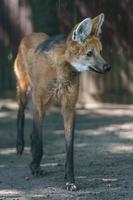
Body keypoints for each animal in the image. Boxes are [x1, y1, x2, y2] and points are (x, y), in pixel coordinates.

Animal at [13, 13, 111, 191]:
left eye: (100, 52)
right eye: (89, 53)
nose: (108, 67)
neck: (61, 70)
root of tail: (31, 34)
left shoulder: (69, 107)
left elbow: (69, 147)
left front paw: (70, 180)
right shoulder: (39, 101)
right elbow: (39, 139)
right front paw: (35, 166)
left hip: (46, 104)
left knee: (33, 130)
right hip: (26, 90)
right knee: (21, 112)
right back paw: (20, 146)